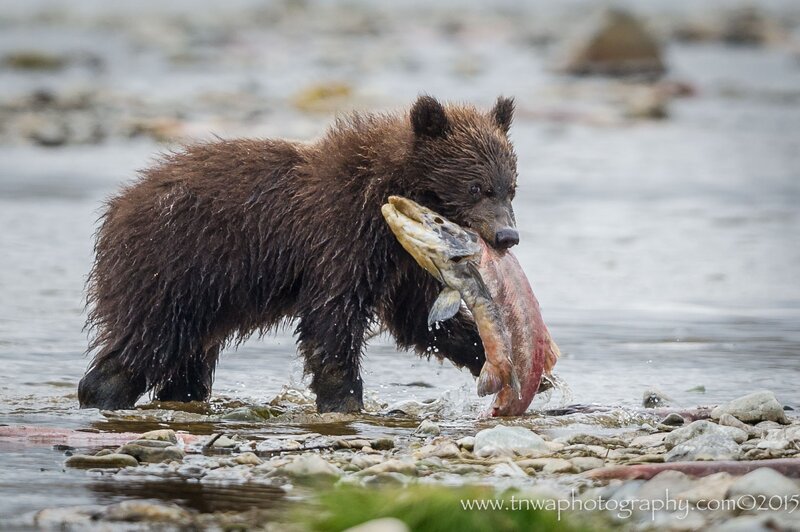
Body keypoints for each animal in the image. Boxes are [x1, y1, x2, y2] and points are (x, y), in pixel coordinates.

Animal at [79, 95, 520, 413]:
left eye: (510, 187)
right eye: (476, 187)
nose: (506, 235)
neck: (389, 193)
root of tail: (116, 208)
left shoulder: (400, 262)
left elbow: (418, 320)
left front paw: (500, 359)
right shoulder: (339, 236)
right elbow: (332, 318)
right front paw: (343, 399)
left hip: (204, 297)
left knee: (187, 361)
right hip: (173, 269)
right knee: (148, 342)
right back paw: (101, 392)